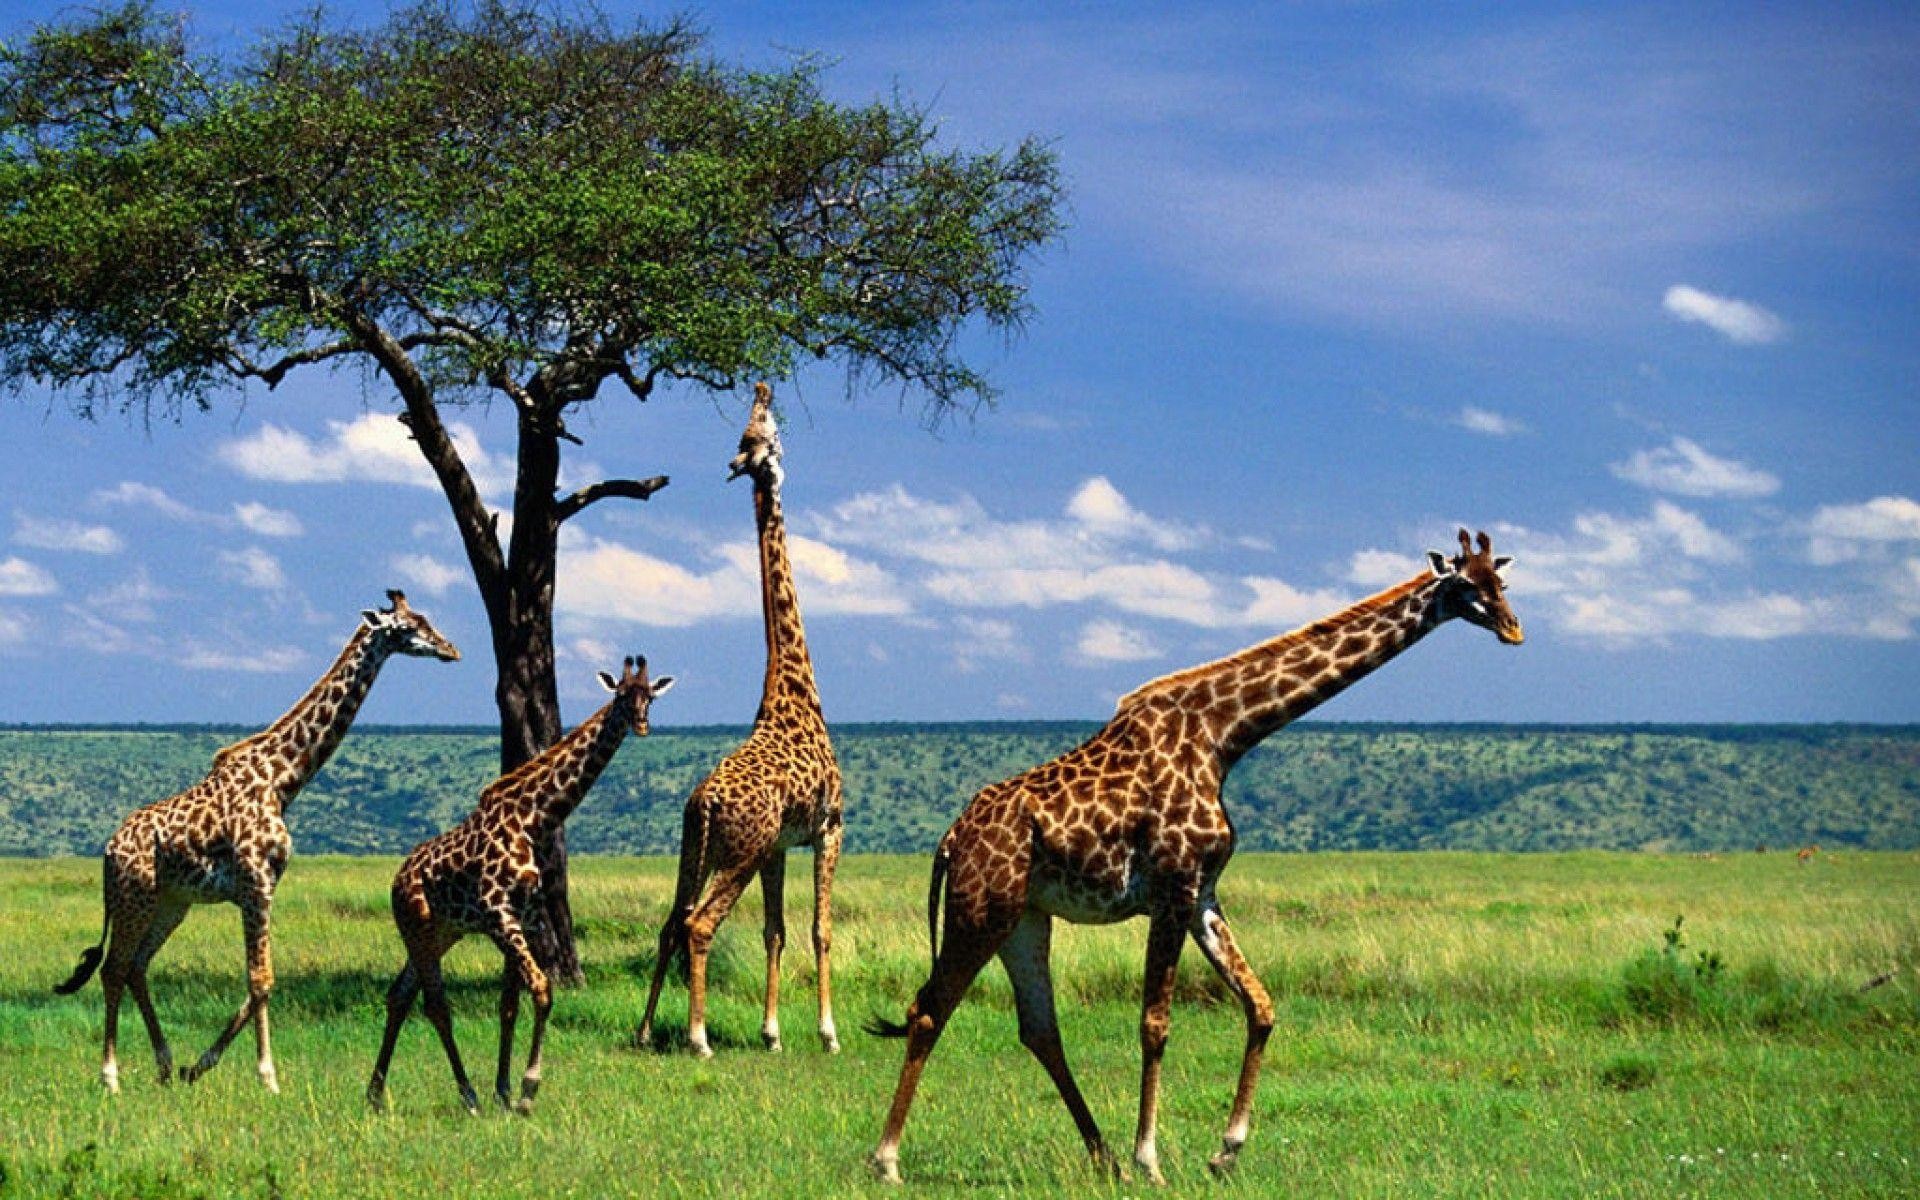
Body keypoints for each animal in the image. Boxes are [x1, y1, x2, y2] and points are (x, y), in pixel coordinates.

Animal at [54, 590, 460, 1094]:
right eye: (409, 626)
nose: (450, 650)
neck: (283, 779)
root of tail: (108, 851)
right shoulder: (256, 882)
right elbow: (261, 979)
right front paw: (268, 1077)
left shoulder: (264, 886)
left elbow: (261, 981)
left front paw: (199, 1065)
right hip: (135, 896)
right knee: (113, 969)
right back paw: (111, 1077)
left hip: (171, 903)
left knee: (135, 968)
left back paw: (166, 1065)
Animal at [367, 656, 674, 1114]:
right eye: (620, 695)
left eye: (649, 696)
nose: (641, 724)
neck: (535, 819)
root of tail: (397, 878)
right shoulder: (499, 914)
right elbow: (542, 989)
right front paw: (527, 1090)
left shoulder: (526, 916)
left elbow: (510, 1004)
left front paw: (505, 1090)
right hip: (415, 926)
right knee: (435, 1003)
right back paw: (467, 1094)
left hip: (440, 932)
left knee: (399, 995)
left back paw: (374, 1093)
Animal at [636, 382, 845, 1057]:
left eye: (752, 436)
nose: (763, 389)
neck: (795, 689)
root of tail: (704, 799)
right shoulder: (830, 826)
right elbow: (819, 928)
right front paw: (827, 1033)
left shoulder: (780, 844)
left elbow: (774, 931)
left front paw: (772, 1033)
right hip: (738, 853)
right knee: (699, 924)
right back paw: (697, 1036)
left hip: (697, 846)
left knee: (671, 921)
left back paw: (645, 1030)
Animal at [868, 530, 1524, 1184]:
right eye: (1467, 584)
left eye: (1503, 582)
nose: (1514, 629)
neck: (1223, 736)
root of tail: (950, 840)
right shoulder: (1173, 886)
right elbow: (1155, 1023)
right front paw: (1152, 1158)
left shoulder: (1203, 892)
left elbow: (1260, 1006)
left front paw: (1225, 1149)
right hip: (982, 908)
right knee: (929, 1009)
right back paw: (888, 1159)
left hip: (1025, 917)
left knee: (1038, 1027)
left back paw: (1103, 1157)